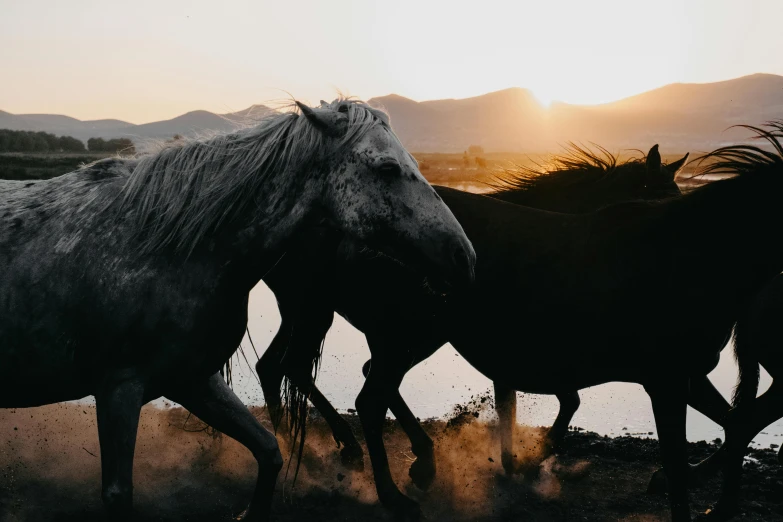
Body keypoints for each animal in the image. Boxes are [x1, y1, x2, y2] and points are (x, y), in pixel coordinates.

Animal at [0, 98, 474, 520]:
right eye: (388, 168)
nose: (464, 256)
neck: (168, 245)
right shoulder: (119, 387)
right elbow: (119, 495)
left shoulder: (192, 380)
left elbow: (269, 450)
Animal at [264, 124, 783, 516]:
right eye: (659, 191)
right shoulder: (658, 376)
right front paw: (523, 462)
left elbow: (732, 420)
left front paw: (521, 463)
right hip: (388, 329)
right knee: (358, 393)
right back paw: (392, 484)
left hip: (354, 323)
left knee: (295, 370)